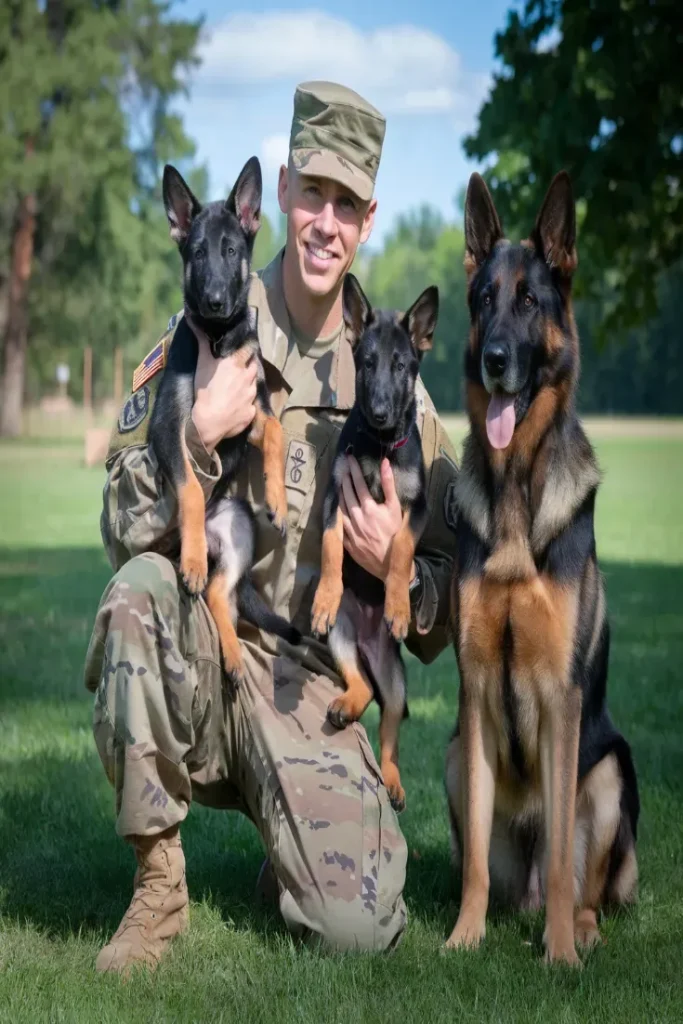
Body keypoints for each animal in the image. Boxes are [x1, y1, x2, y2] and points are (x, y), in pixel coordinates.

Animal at [148, 157, 296, 688]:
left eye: (231, 250)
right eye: (197, 253)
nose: (213, 300)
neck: (219, 338)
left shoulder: (251, 411)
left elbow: (277, 432)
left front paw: (277, 497)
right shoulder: (169, 427)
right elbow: (191, 486)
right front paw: (191, 560)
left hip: (238, 524)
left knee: (219, 593)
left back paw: (231, 654)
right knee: (211, 589)